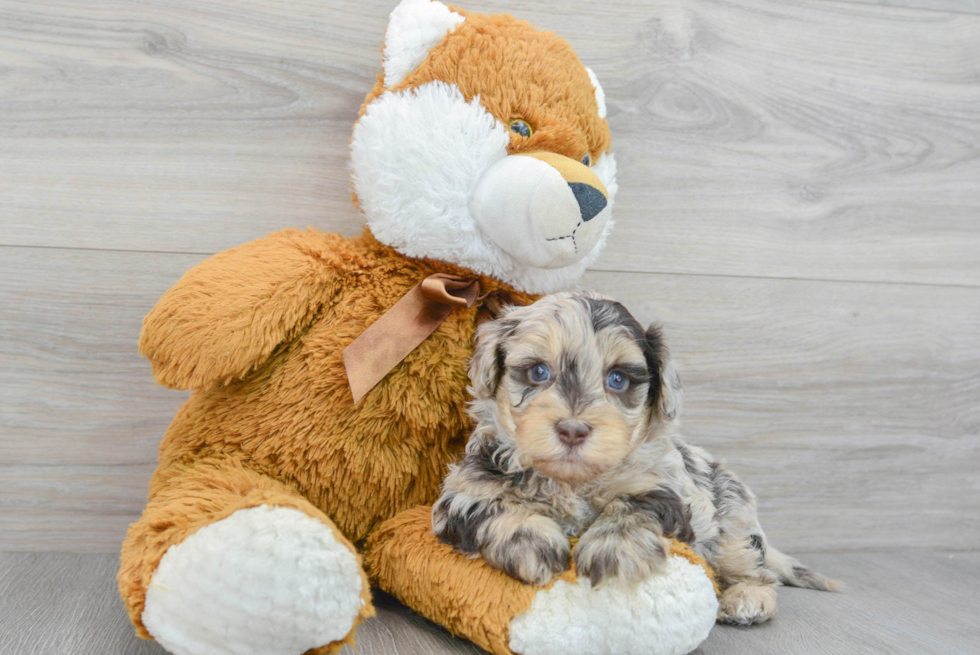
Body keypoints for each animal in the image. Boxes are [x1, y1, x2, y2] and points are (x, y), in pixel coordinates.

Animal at [432, 290, 840, 624]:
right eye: (538, 371)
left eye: (618, 380)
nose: (573, 430)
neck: (573, 482)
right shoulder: (463, 490)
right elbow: (492, 507)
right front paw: (531, 543)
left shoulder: (665, 486)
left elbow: (636, 504)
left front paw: (614, 548)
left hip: (733, 521)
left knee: (752, 566)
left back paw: (747, 599)